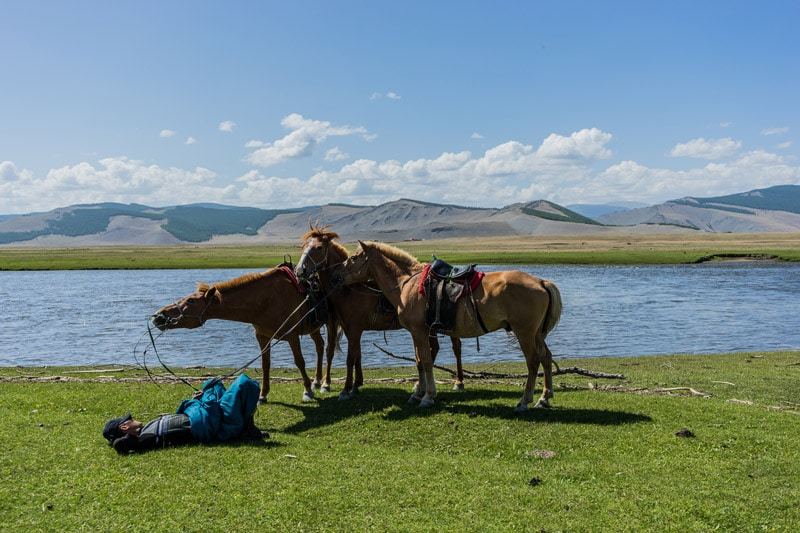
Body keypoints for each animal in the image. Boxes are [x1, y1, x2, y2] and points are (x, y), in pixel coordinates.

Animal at [152, 268, 332, 402]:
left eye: (191, 301)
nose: (158, 316)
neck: (265, 301)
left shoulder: (292, 335)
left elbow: (299, 362)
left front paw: (307, 391)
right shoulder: (262, 337)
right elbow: (265, 364)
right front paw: (263, 395)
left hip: (332, 324)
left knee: (328, 350)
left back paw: (325, 384)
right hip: (314, 328)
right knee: (320, 346)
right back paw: (317, 381)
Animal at [296, 225, 466, 400]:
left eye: (319, 248)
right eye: (303, 247)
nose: (300, 270)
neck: (350, 290)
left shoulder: (354, 328)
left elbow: (350, 358)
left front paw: (345, 389)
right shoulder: (349, 328)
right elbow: (356, 355)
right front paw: (355, 385)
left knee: (455, 347)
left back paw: (458, 382)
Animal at [332, 241, 564, 412]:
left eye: (354, 258)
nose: (336, 276)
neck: (406, 282)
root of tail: (541, 282)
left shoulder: (419, 331)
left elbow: (426, 361)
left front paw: (427, 396)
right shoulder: (419, 332)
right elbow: (420, 361)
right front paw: (417, 394)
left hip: (524, 332)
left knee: (533, 362)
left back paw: (524, 401)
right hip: (536, 334)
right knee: (546, 357)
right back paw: (544, 398)